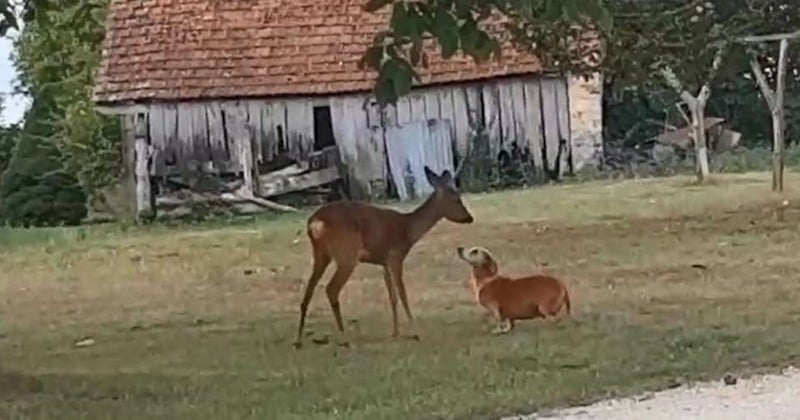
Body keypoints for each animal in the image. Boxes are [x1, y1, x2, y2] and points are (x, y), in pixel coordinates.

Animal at [296, 166, 476, 350]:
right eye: (456, 200)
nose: (470, 218)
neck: (408, 230)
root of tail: (315, 222)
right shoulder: (396, 257)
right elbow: (403, 294)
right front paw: (416, 333)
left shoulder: (384, 263)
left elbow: (392, 297)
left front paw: (396, 332)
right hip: (346, 254)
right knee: (331, 289)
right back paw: (344, 338)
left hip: (321, 253)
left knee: (308, 291)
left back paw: (299, 339)